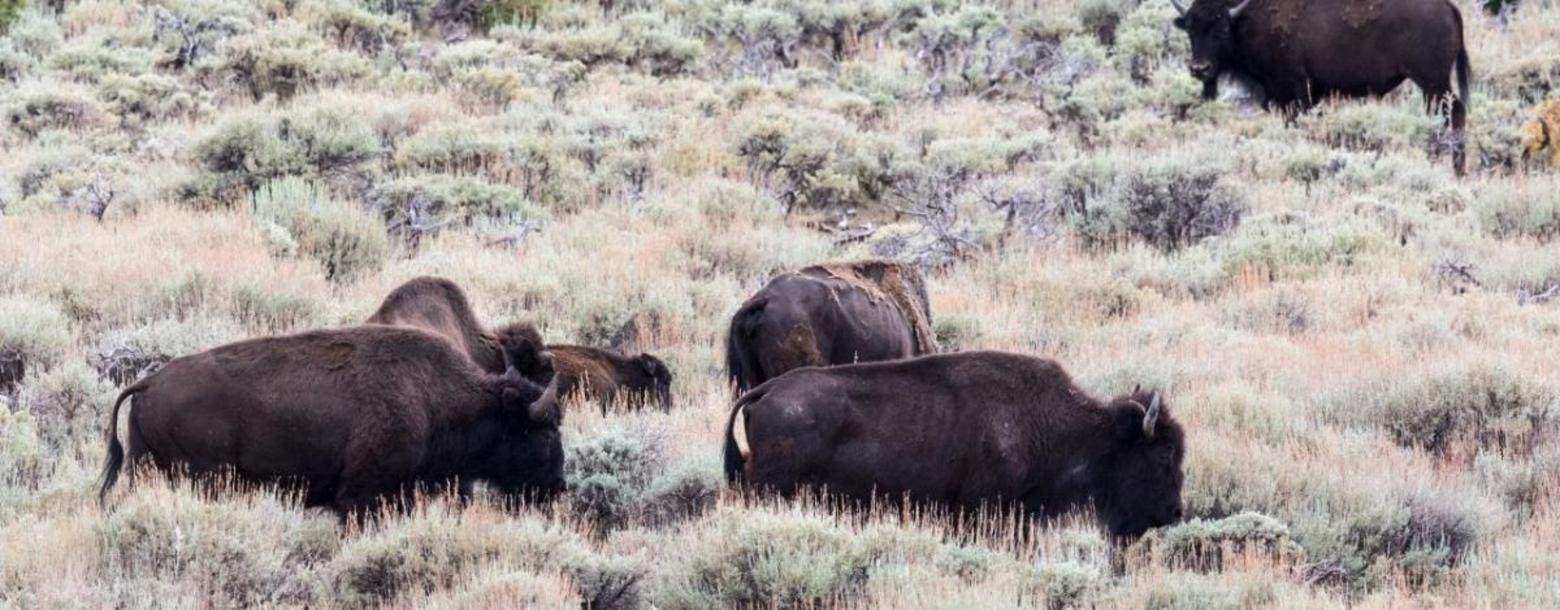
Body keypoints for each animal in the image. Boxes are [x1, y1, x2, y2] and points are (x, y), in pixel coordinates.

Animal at [97, 327, 564, 517]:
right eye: (543, 433)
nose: (558, 486)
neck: (435, 397)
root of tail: (149, 382)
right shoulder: (361, 495)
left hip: (143, 465)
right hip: (204, 476)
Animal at [1173, 0, 1472, 174]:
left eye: (1221, 29)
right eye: (1190, 29)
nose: (1199, 69)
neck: (1245, 19)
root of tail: (1448, 6)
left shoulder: (1293, 92)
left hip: (1432, 81)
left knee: (1454, 111)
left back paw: (1455, 169)